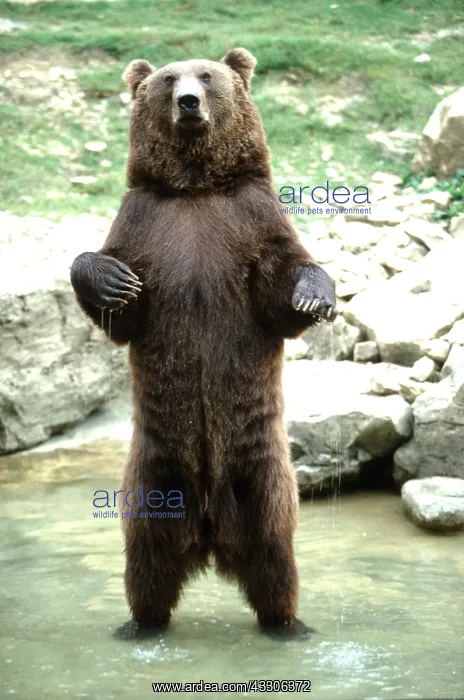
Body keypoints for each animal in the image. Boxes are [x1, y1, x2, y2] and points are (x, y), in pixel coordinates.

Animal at [70, 48, 337, 640]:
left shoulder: (249, 218)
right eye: (168, 79)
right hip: (153, 468)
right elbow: (121, 303)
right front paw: (109, 280)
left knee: (274, 547)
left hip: (261, 464)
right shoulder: (146, 222)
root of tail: (211, 536)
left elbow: (281, 282)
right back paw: (141, 623)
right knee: (146, 550)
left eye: (208, 76)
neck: (195, 189)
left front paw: (314, 292)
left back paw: (287, 622)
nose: (188, 102)